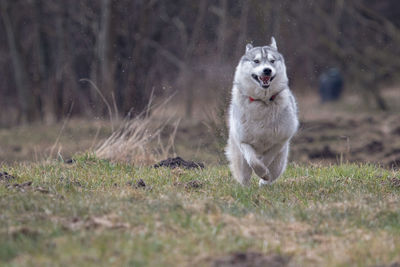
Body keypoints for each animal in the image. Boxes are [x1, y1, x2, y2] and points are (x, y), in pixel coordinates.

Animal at [225, 37, 296, 187]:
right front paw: (261, 171)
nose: (267, 70)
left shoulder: (280, 140)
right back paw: (246, 187)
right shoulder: (243, 142)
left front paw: (264, 174)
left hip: (279, 163)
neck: (262, 102)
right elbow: (253, 160)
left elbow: (267, 158)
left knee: (273, 171)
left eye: (272, 61)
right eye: (256, 61)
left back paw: (264, 182)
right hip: (240, 161)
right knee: (245, 175)